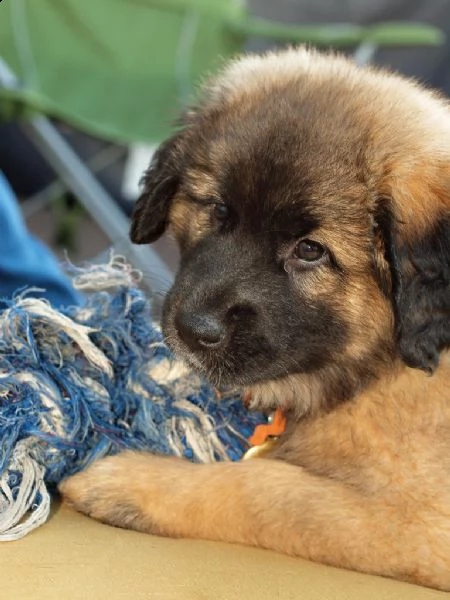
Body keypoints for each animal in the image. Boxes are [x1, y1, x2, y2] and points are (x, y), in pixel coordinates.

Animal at [59, 48, 450, 592]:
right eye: (220, 209)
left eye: (310, 251)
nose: (192, 329)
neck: (373, 370)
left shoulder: (420, 524)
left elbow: (270, 491)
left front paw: (134, 485)